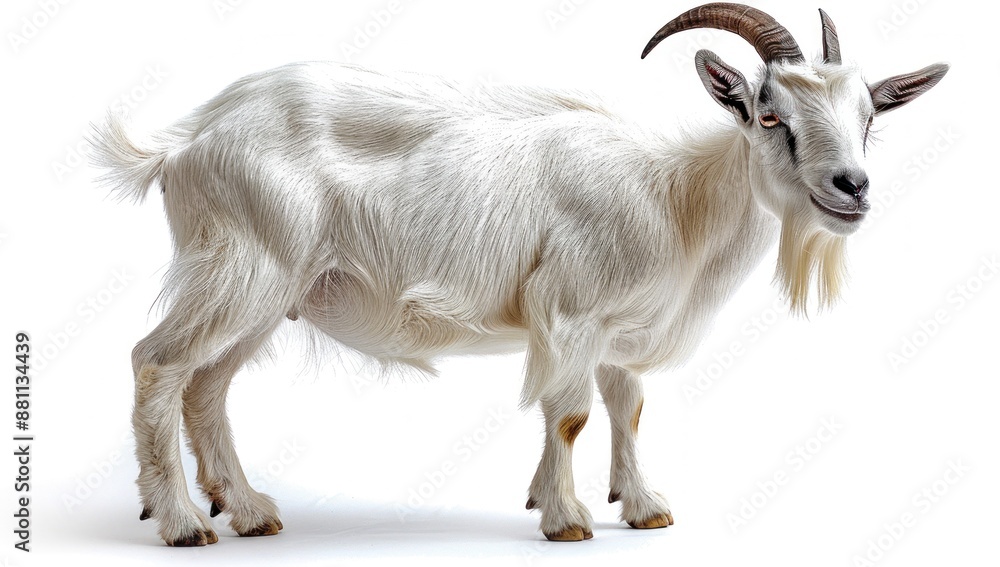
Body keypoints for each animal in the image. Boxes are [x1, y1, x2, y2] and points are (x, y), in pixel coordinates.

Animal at [91, 3, 948, 546]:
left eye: (869, 118)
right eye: (771, 115)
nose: (852, 187)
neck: (674, 197)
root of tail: (183, 145)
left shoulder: (617, 331)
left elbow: (628, 408)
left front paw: (641, 506)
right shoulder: (569, 311)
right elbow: (569, 414)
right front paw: (565, 517)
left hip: (273, 292)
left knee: (207, 385)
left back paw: (247, 509)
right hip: (244, 267)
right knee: (159, 364)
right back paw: (181, 522)